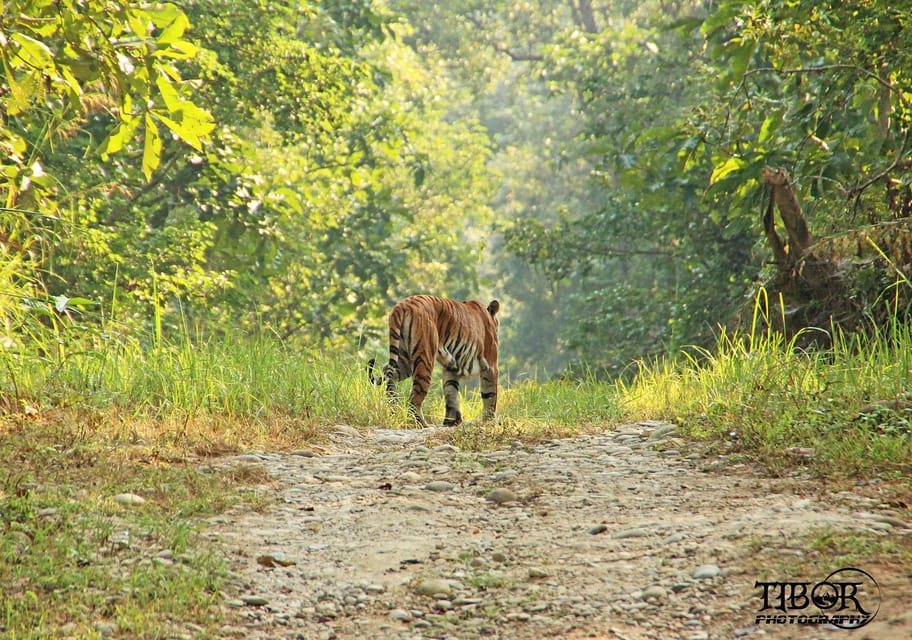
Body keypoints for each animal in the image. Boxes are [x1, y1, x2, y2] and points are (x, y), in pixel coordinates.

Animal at [368, 296, 502, 428]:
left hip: (404, 358)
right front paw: (489, 422)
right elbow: (490, 394)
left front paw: (451, 422)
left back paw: (394, 409)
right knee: (415, 398)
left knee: (389, 374)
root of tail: (402, 305)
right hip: (425, 357)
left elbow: (451, 391)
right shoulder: (491, 365)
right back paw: (421, 424)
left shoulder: (451, 367)